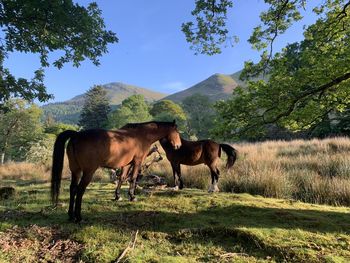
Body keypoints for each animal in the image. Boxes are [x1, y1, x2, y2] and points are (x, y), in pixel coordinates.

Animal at [51, 121, 180, 223]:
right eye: (177, 132)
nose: (178, 146)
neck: (141, 135)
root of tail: (77, 135)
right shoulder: (137, 162)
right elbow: (133, 178)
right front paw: (132, 196)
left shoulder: (126, 164)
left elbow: (122, 178)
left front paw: (118, 196)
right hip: (88, 172)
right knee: (80, 190)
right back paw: (78, 217)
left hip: (76, 170)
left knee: (73, 189)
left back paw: (71, 216)